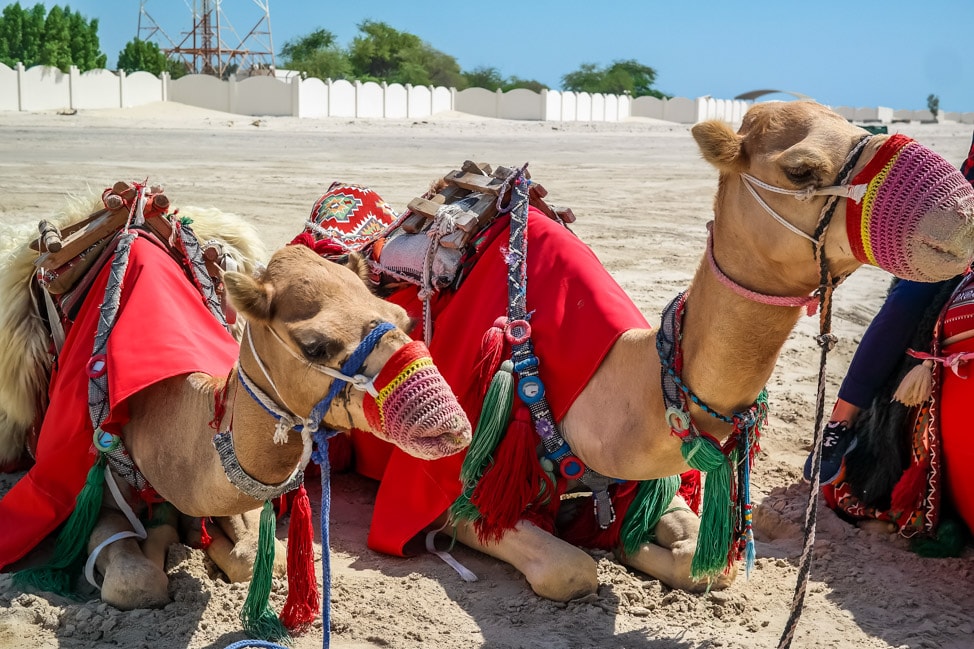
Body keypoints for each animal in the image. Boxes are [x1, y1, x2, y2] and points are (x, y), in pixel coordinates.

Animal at [0, 189, 472, 612]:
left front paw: (194, 535)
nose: (448, 425)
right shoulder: (90, 482)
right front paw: (165, 538)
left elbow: (256, 558)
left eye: (404, 320)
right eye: (315, 345)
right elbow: (134, 584)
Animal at [312, 101, 974, 604]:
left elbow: (705, 564)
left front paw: (623, 540)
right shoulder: (451, 487)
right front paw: (588, 541)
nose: (961, 210)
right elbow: (568, 570)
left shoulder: (645, 482)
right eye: (802, 168)